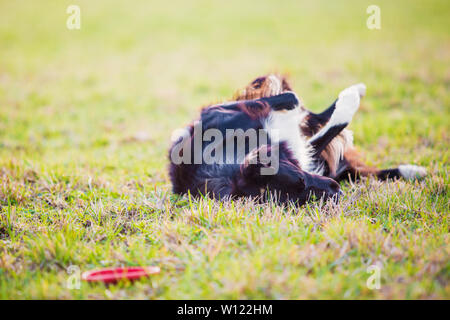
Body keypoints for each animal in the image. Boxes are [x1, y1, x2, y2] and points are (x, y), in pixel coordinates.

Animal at [168, 74, 426, 205]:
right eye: (298, 199)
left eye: (302, 180)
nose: (338, 193)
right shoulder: (301, 154)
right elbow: (331, 128)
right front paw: (349, 101)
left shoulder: (218, 114)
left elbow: (291, 99)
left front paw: (352, 94)